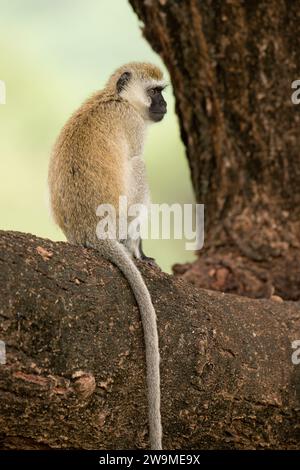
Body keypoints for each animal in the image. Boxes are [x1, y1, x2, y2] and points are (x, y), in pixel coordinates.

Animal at [48, 62, 168, 448]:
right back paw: (134, 249)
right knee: (138, 166)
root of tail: (87, 231)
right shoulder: (132, 125)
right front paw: (142, 253)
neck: (115, 99)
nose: (165, 105)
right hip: (118, 218)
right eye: (155, 92)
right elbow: (134, 159)